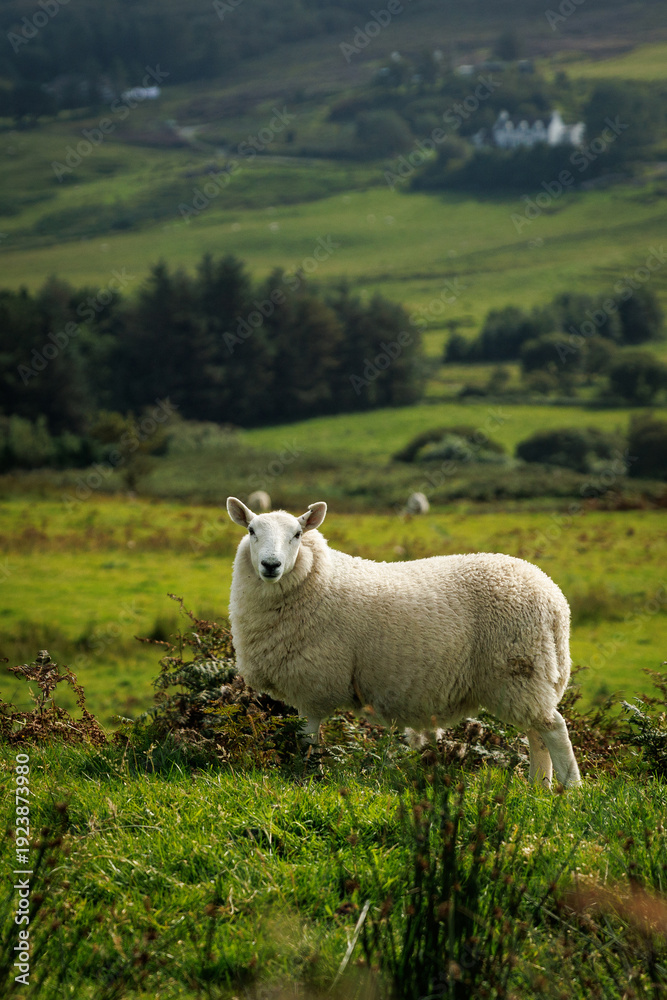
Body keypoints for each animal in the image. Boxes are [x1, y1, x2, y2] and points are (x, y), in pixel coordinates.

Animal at [226, 497, 582, 787]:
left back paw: (570, 789)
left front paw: (308, 774)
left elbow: (310, 737)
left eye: (297, 534)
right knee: (537, 733)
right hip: (532, 677)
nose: (271, 565)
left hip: (517, 670)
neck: (316, 578)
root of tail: (555, 601)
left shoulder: (314, 682)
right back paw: (538, 787)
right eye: (252, 530)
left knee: (554, 729)